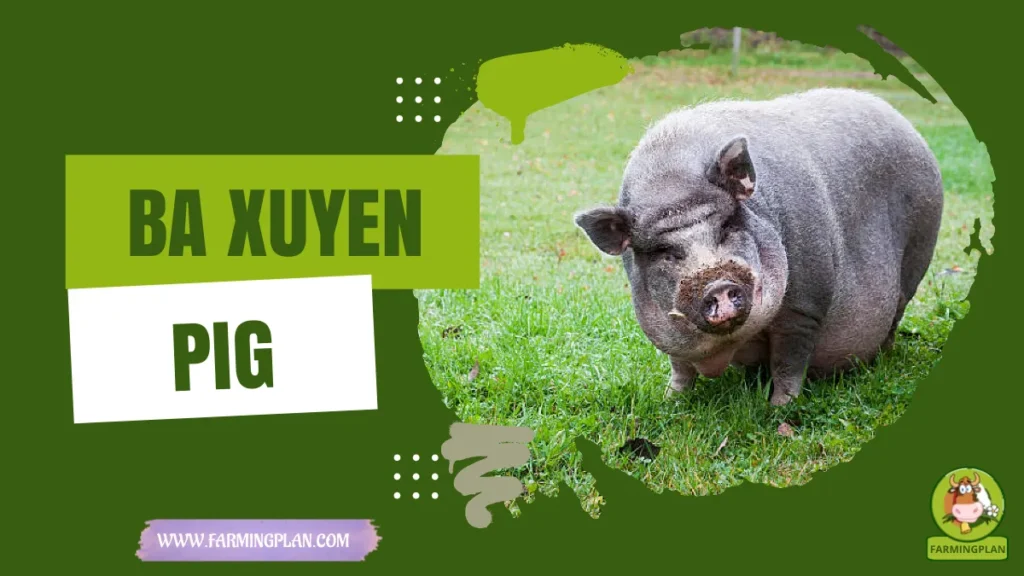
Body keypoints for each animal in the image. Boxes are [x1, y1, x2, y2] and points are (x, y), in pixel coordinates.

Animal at [574, 87, 943, 406]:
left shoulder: (804, 307)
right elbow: (679, 367)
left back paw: (880, 359)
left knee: (896, 312)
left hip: (918, 253)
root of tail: (904, 122)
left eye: (728, 225)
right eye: (664, 252)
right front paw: (670, 400)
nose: (717, 284)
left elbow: (788, 362)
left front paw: (780, 409)